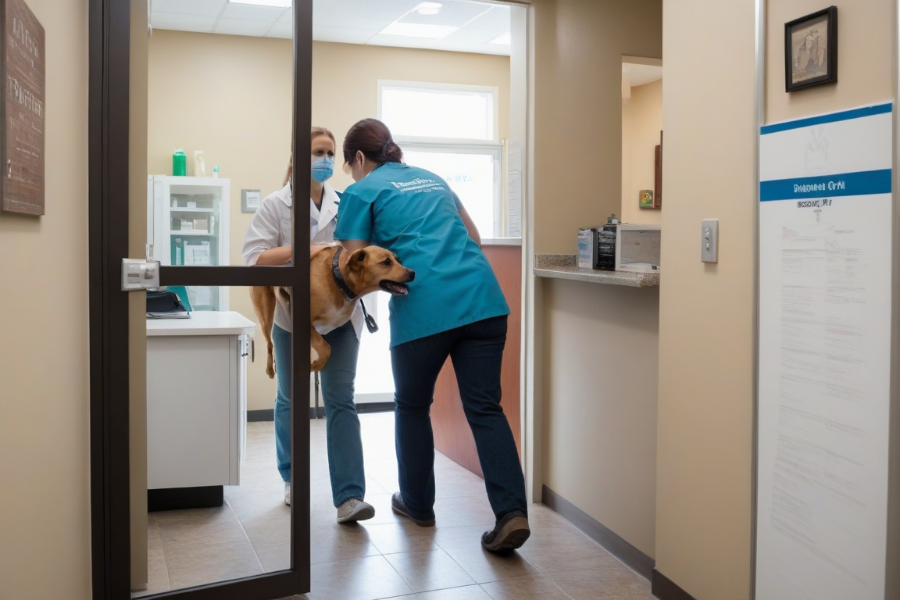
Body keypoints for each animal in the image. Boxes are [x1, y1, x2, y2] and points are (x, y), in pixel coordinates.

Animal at [248, 245, 414, 378]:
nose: (412, 273)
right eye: (386, 262)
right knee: (269, 344)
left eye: (397, 260)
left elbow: (323, 345)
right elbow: (326, 347)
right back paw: (270, 369)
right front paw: (316, 365)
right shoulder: (304, 321)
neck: (339, 279)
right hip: (265, 314)